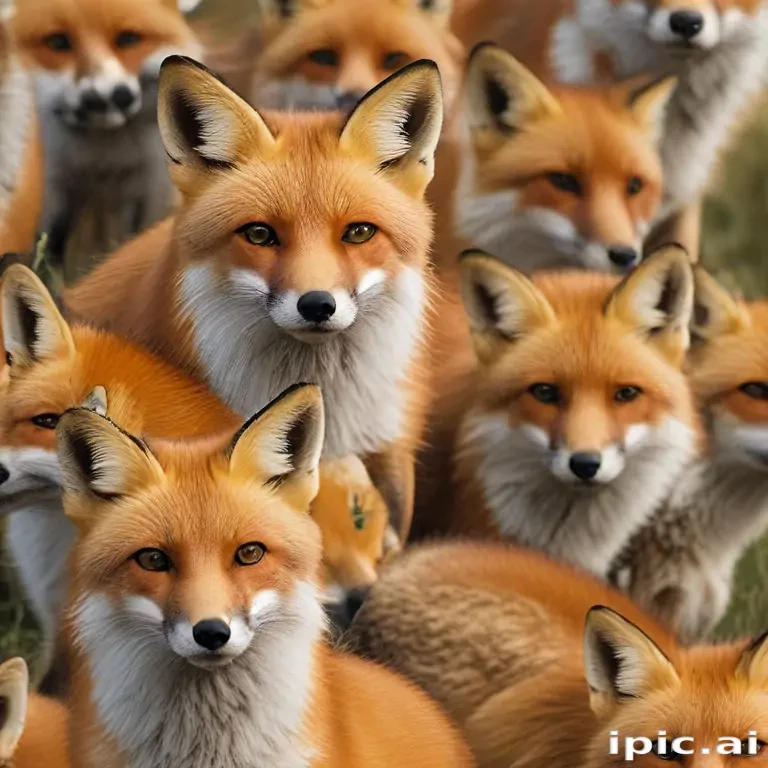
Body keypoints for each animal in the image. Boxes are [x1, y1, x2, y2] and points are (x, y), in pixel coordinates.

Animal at [11, 0, 201, 271]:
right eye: (58, 42)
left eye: (128, 39)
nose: (110, 97)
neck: (102, 162)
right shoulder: (51, 196)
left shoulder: (148, 192)